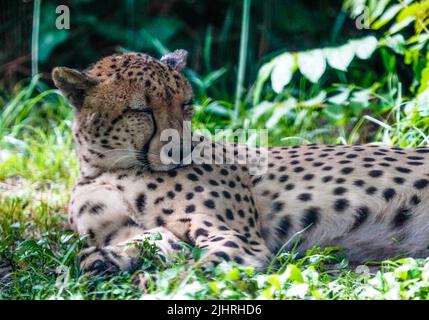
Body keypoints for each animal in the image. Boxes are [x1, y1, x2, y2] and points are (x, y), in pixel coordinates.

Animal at [51, 50, 428, 276]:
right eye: (140, 110)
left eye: (187, 103)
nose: (181, 150)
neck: (110, 168)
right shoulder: (137, 230)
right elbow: (148, 243)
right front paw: (105, 261)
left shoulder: (241, 243)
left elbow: (191, 274)